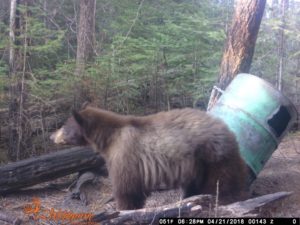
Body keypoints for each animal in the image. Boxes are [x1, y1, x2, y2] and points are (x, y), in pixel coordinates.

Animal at [51, 106, 248, 210]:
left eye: (64, 126)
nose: (52, 136)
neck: (108, 138)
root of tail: (229, 132)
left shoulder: (124, 156)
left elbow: (126, 191)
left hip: (213, 158)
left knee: (221, 186)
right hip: (197, 168)